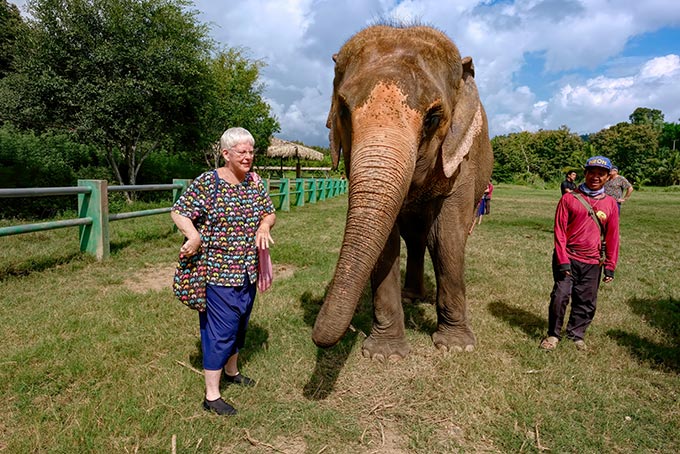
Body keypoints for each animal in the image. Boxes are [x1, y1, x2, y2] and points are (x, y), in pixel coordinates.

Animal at [314, 24, 494, 362]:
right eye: (342, 110)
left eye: (433, 118)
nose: (317, 336)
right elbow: (387, 239)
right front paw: (384, 355)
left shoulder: (462, 160)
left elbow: (447, 236)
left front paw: (456, 346)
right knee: (415, 237)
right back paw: (411, 297)